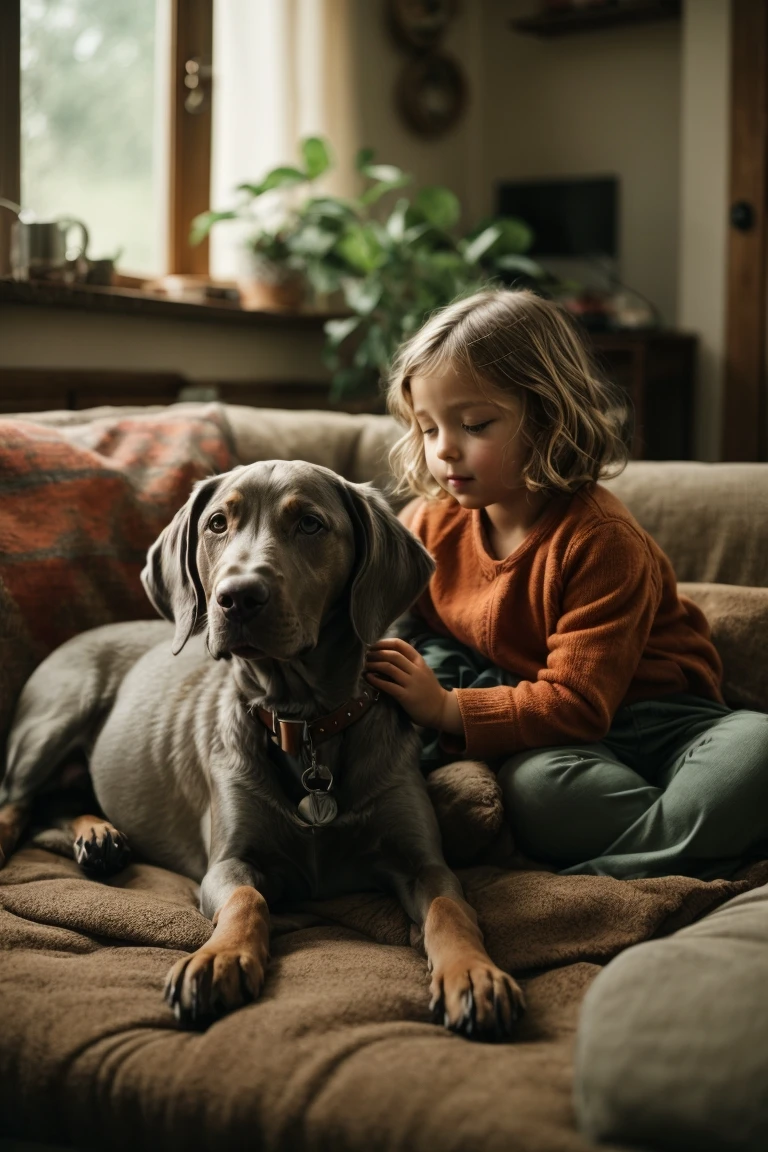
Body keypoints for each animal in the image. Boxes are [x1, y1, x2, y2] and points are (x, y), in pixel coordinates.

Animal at [0, 460, 522, 1046]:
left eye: (311, 524)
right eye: (217, 523)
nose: (237, 597)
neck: (306, 723)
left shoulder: (423, 862)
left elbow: (450, 909)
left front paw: (474, 974)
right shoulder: (228, 862)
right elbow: (247, 900)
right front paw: (219, 959)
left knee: (55, 803)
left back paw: (99, 836)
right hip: (57, 715)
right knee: (16, 801)